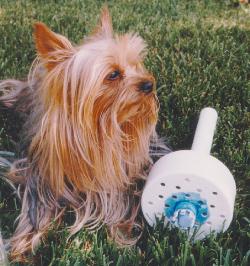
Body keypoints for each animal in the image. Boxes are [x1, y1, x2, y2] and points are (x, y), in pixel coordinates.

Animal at [0, 6, 166, 262]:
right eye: (113, 75)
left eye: (136, 65)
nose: (149, 84)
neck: (100, 130)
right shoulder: (41, 182)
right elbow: (34, 216)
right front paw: (24, 245)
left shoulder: (120, 182)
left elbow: (118, 207)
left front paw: (122, 239)